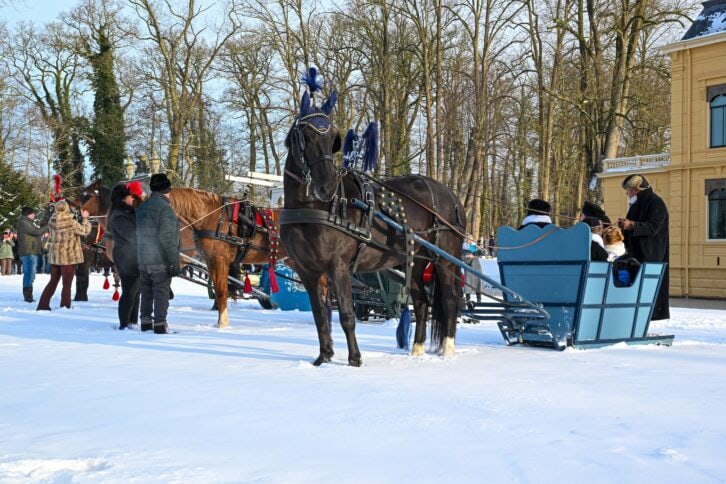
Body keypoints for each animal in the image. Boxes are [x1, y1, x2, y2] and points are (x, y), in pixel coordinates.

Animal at [279, 79, 466, 367]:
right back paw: (417, 350)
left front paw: (355, 359)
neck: (311, 208)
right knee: (422, 303)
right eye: (306, 136)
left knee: (449, 300)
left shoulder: (337, 266)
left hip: (446, 259)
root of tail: (451, 196)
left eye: (332, 139)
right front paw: (323, 358)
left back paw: (447, 349)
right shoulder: (307, 270)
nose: (327, 186)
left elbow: (347, 314)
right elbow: (320, 316)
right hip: (415, 261)